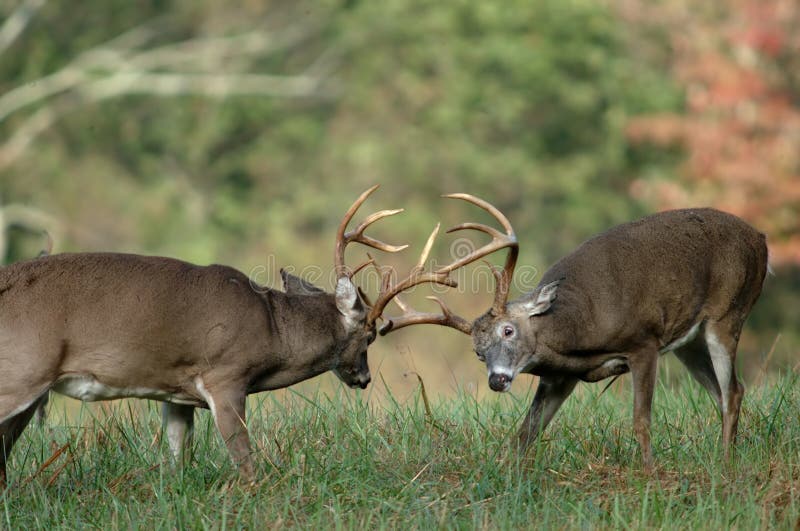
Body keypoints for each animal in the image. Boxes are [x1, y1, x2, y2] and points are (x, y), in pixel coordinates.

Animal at [0, 186, 462, 486]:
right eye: (368, 338)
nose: (363, 379)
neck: (273, 327)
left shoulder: (176, 392)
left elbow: (177, 460)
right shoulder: (225, 376)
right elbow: (245, 461)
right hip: (22, 371)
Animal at [382, 195, 768, 470]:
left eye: (508, 330)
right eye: (478, 352)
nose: (496, 380)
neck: (579, 334)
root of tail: (761, 239)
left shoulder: (643, 342)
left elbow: (641, 421)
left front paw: (649, 473)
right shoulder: (560, 376)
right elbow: (524, 434)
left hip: (727, 313)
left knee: (733, 391)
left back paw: (726, 466)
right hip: (688, 342)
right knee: (722, 393)